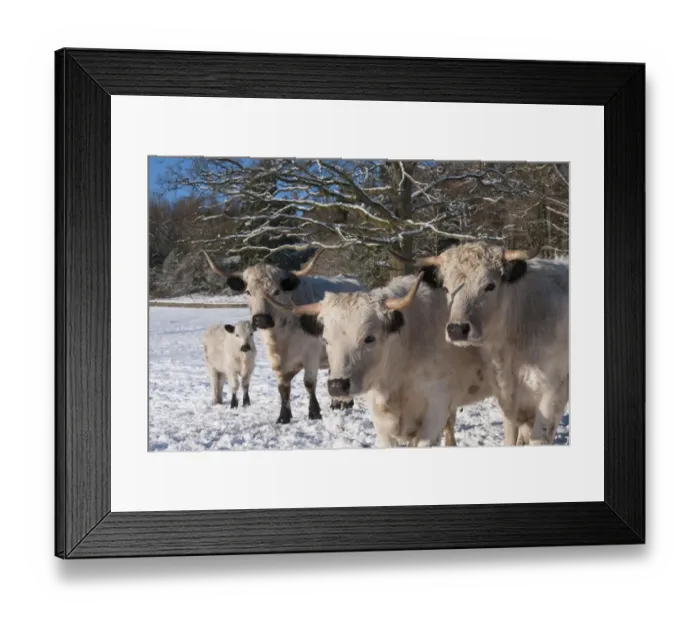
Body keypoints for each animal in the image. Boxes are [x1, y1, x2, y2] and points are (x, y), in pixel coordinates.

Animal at [202, 248, 366, 424]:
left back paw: (346, 403)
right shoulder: (275, 359)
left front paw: (314, 412)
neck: (282, 334)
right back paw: (337, 403)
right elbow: (283, 387)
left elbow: (309, 383)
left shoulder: (311, 354)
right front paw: (284, 416)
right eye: (248, 292)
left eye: (276, 291)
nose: (261, 319)